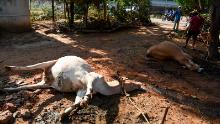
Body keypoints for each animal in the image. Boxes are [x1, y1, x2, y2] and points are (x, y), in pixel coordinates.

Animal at [3, 55, 144, 116]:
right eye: (129, 79)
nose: (141, 85)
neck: (104, 87)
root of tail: (46, 78)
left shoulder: (80, 89)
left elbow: (77, 101)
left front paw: (65, 113)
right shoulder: (90, 77)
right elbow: (89, 89)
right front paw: (86, 100)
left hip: (46, 84)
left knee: (25, 87)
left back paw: (5, 88)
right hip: (48, 63)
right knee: (30, 66)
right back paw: (8, 68)